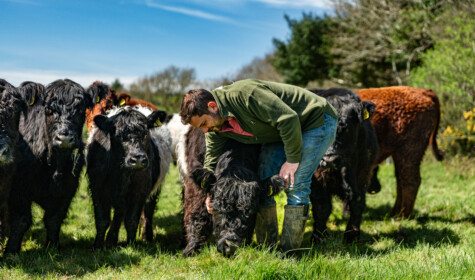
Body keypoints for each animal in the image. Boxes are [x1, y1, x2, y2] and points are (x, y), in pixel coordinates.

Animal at [87, 105, 173, 249]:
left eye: (146, 133)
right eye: (118, 135)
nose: (137, 159)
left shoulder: (139, 192)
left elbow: (131, 220)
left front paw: (131, 246)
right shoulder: (97, 189)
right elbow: (102, 220)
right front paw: (97, 245)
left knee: (148, 211)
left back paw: (146, 236)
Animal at [310, 88, 382, 244]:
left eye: (346, 127)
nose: (329, 159)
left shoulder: (362, 174)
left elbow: (357, 204)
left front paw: (352, 235)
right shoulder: (317, 179)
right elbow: (321, 207)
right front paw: (319, 237)